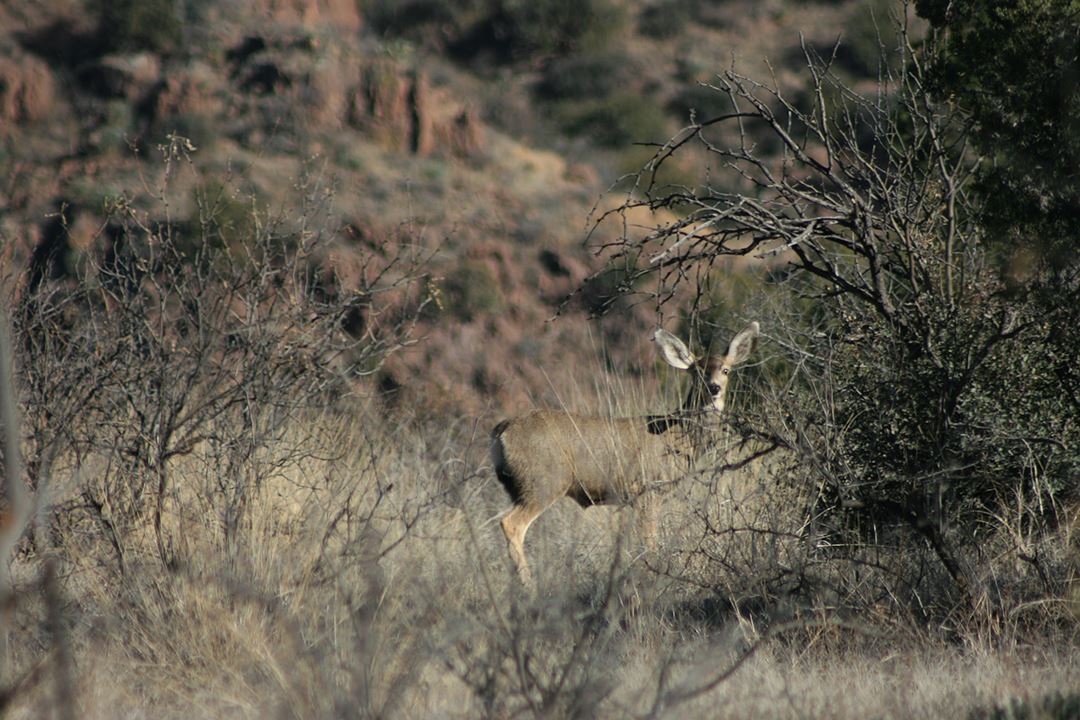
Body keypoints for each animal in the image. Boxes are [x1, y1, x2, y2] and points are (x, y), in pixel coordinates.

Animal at [491, 322, 760, 585]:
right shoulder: (647, 489)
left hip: (519, 487)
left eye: (726, 370)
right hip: (544, 481)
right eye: (697, 371)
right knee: (510, 523)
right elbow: (649, 543)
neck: (679, 436)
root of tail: (501, 432)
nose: (714, 388)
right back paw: (528, 585)